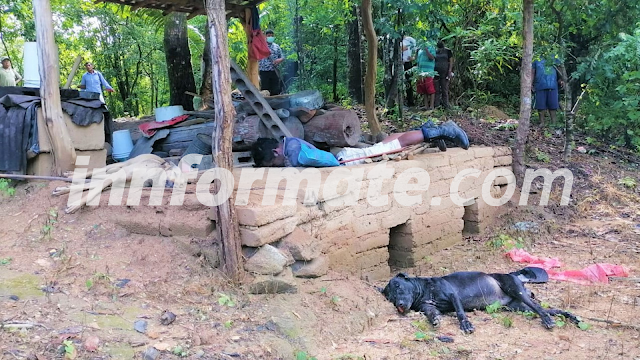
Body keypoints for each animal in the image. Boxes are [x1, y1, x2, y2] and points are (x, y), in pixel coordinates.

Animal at [380, 268, 580, 334]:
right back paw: (572, 317)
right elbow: (432, 314)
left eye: (398, 287)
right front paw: (435, 320)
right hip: (519, 307)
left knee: (539, 308)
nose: (399, 305)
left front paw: (466, 325)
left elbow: (460, 313)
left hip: (516, 290)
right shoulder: (428, 307)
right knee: (552, 309)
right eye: (390, 298)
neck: (424, 291)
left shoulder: (453, 296)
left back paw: (547, 320)